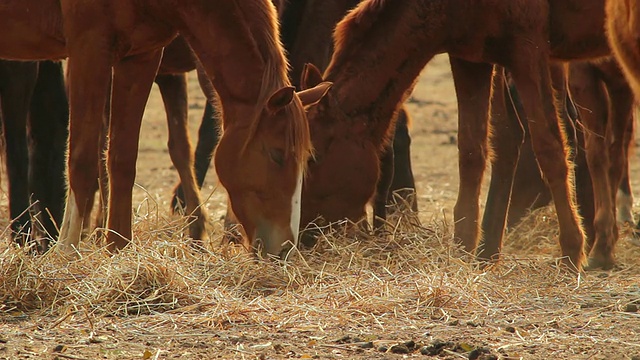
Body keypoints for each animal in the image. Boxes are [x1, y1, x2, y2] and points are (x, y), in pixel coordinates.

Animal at [300, 0, 620, 270]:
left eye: (313, 158)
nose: (302, 237)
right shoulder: (471, 58)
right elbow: (472, 150)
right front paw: (467, 247)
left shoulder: (527, 51)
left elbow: (549, 147)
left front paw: (571, 251)